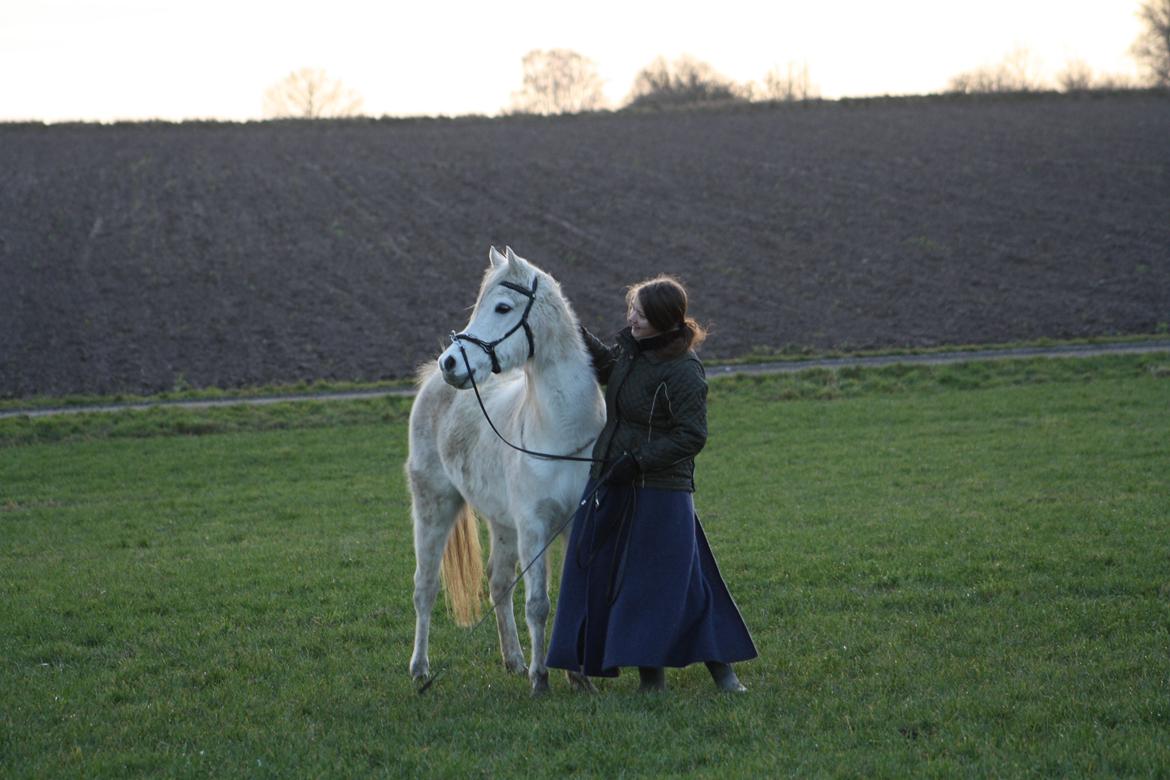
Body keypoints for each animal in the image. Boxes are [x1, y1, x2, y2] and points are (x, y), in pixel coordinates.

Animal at [407, 245, 603, 696]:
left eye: (502, 307)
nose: (450, 362)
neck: (560, 430)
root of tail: (431, 385)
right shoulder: (533, 526)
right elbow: (538, 605)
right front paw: (541, 678)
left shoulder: (575, 524)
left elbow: (572, 598)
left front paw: (578, 676)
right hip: (433, 510)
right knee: (425, 588)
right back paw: (421, 669)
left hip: (503, 525)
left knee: (498, 585)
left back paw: (513, 659)